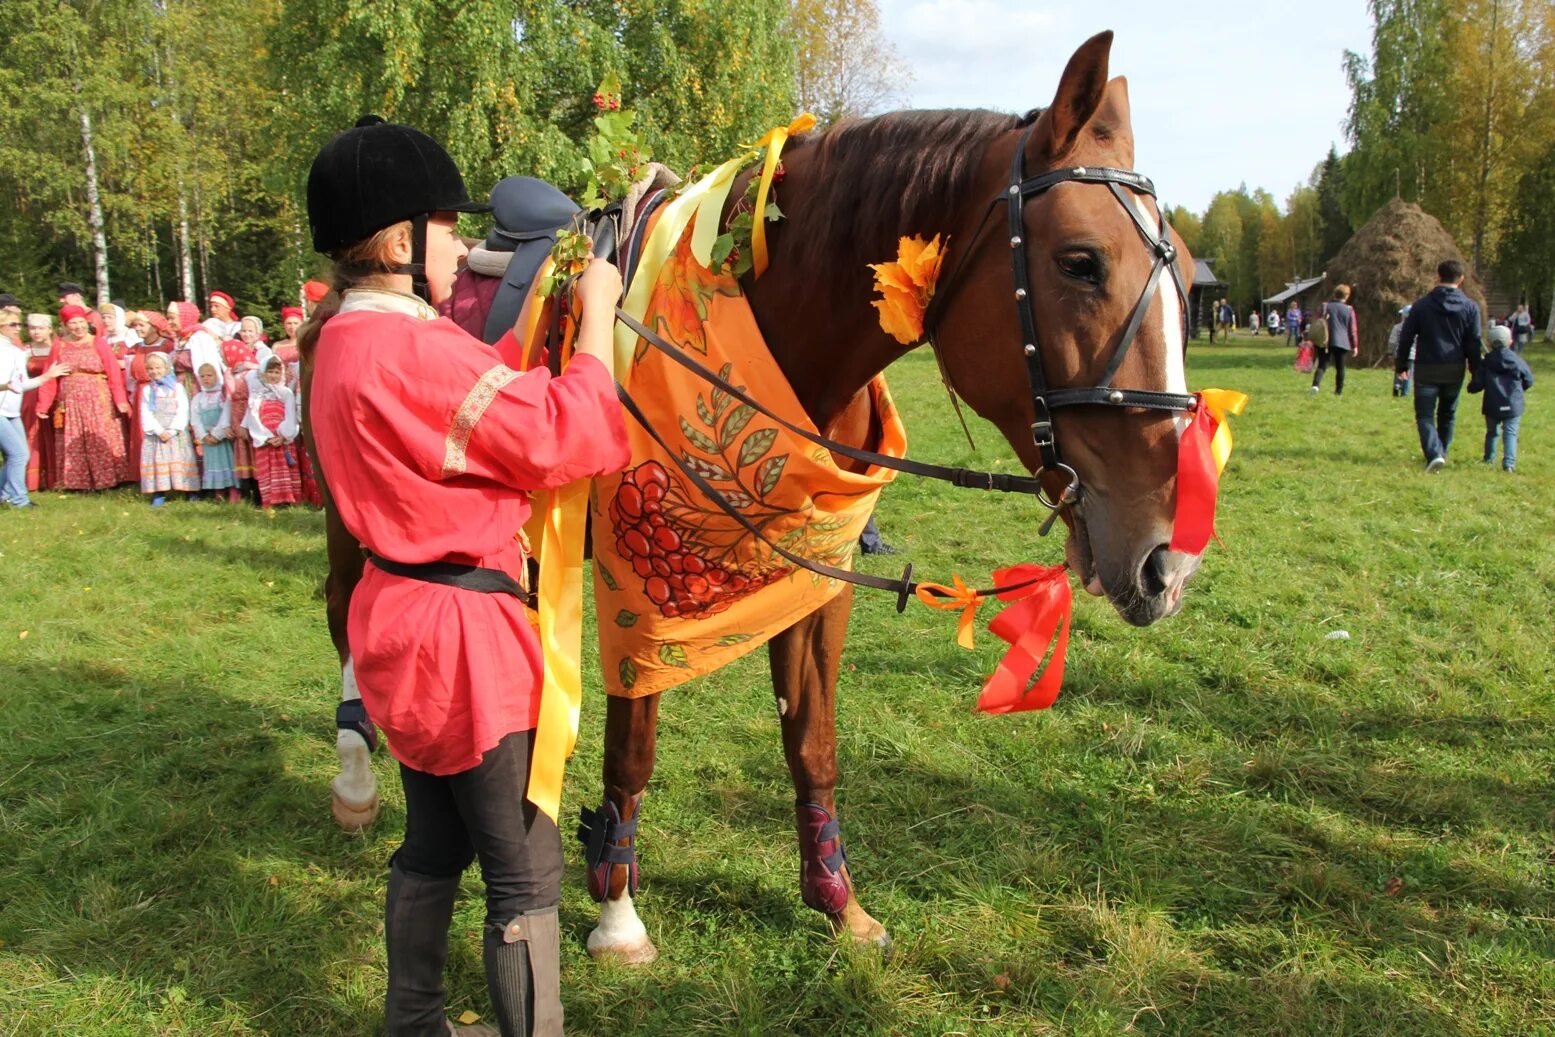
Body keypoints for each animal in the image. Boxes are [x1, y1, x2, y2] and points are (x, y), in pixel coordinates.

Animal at [584, 30, 1200, 963]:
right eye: (1080, 262)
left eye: (1188, 277)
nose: (1167, 562)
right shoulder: (638, 596)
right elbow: (632, 743)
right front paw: (617, 912)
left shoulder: (814, 578)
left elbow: (811, 739)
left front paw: (837, 903)